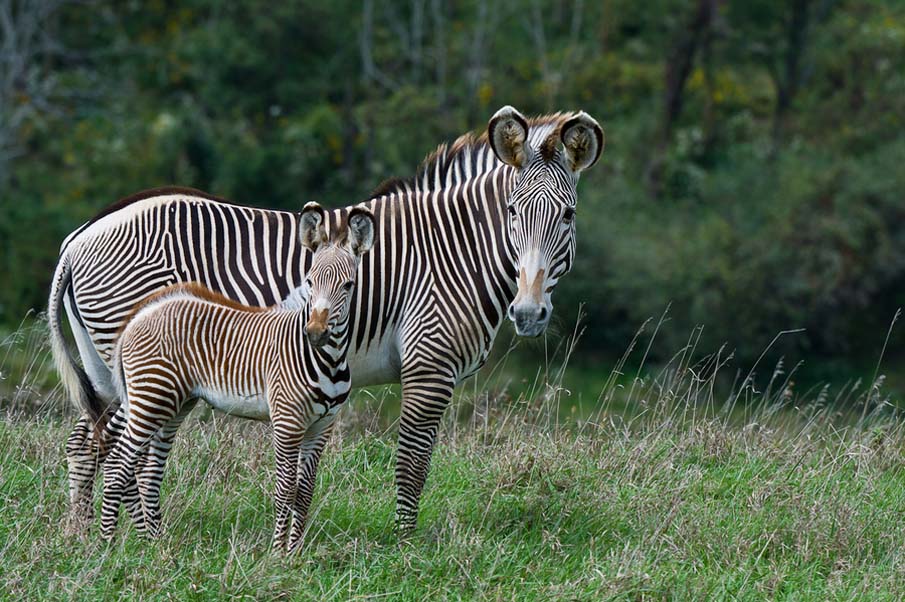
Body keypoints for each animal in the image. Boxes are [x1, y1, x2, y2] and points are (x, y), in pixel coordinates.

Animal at [101, 202, 374, 548]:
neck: (327, 358)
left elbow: (305, 493)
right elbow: (286, 489)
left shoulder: (322, 426)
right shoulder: (287, 422)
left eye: (348, 285)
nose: (315, 333)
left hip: (175, 403)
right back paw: (107, 545)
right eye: (310, 282)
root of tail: (141, 314)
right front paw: (278, 552)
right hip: (151, 397)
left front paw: (295, 551)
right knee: (117, 465)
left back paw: (155, 542)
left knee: (147, 471)